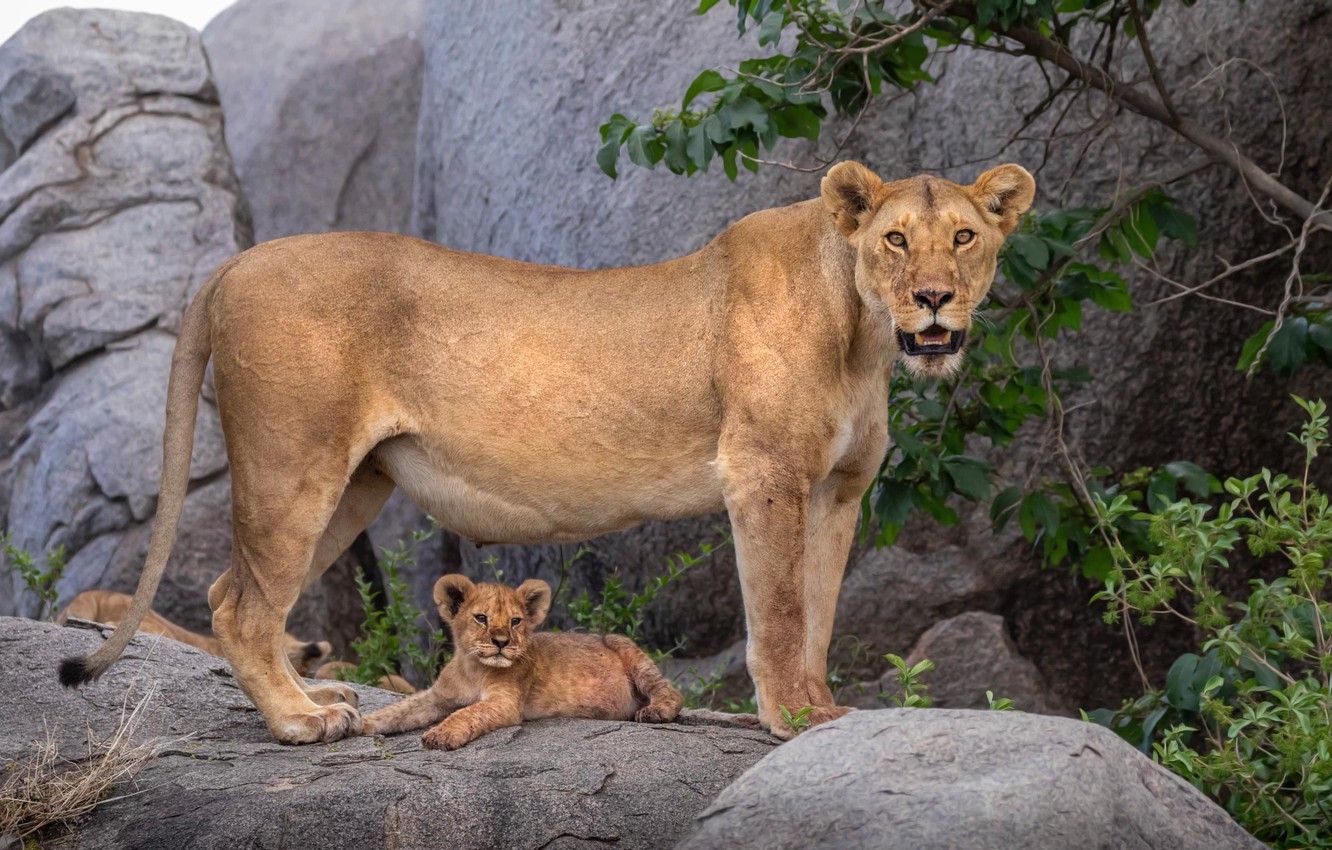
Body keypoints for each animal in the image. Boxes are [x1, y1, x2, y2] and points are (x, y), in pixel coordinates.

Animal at [361, 574, 682, 749]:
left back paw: (655, 712)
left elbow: (466, 713)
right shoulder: (437, 697)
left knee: (672, 692)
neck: (472, 669)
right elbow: (400, 710)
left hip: (626, 648)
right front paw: (360, 724)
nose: (501, 642)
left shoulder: (505, 703)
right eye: (481, 618)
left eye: (515, 621)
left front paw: (441, 734)